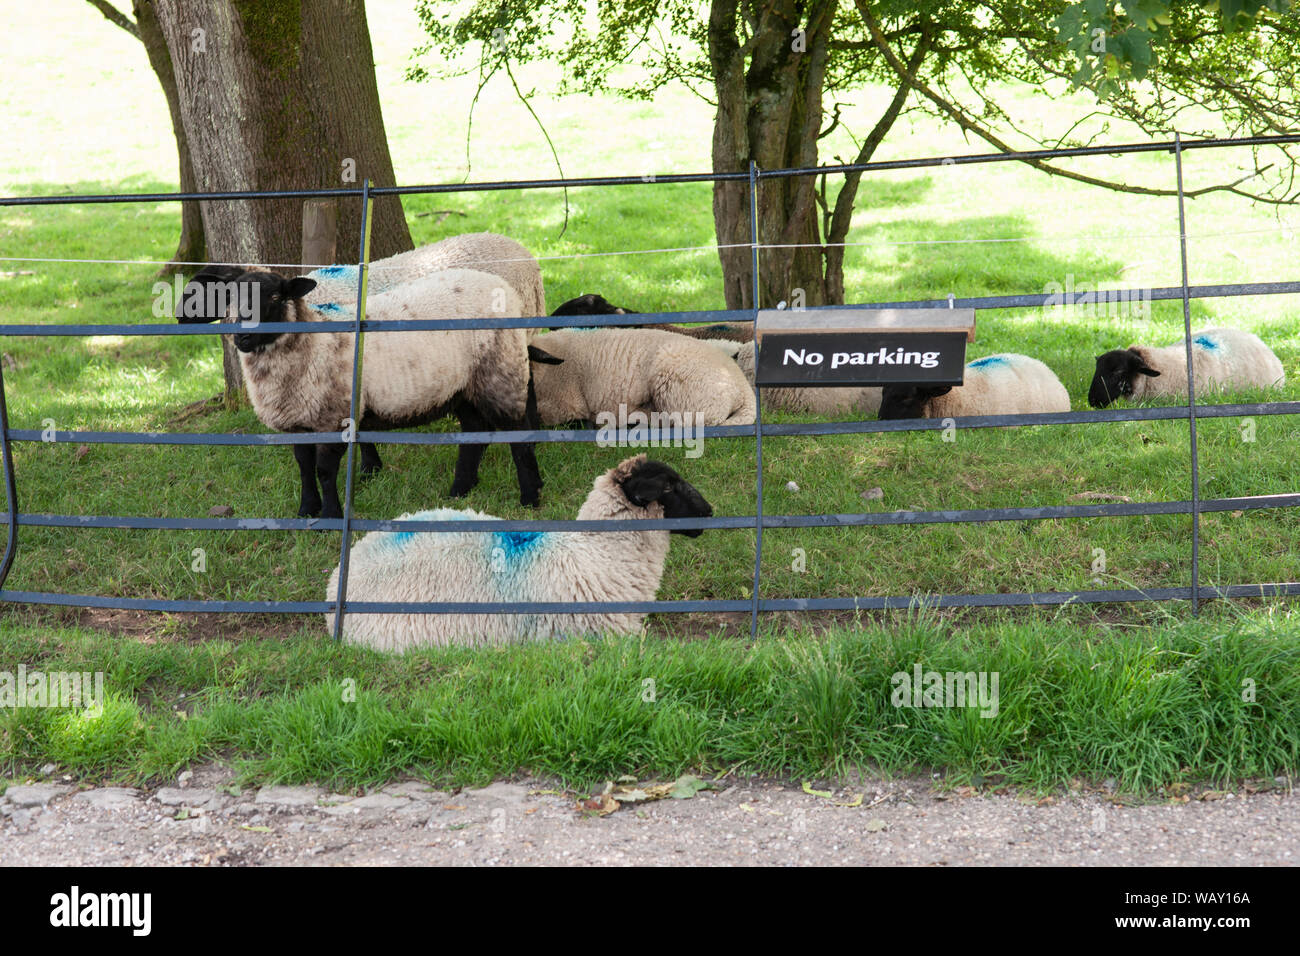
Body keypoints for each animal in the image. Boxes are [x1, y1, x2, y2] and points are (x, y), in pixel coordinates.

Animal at [178, 269, 543, 520]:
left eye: (275, 298)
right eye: (228, 298)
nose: (242, 338)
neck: (313, 342)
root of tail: (504, 287)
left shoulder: (333, 417)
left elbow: (325, 471)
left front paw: (330, 516)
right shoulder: (300, 420)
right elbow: (303, 467)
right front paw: (306, 510)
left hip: (502, 371)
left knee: (519, 437)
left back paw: (530, 496)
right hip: (463, 386)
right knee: (474, 433)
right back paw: (460, 490)